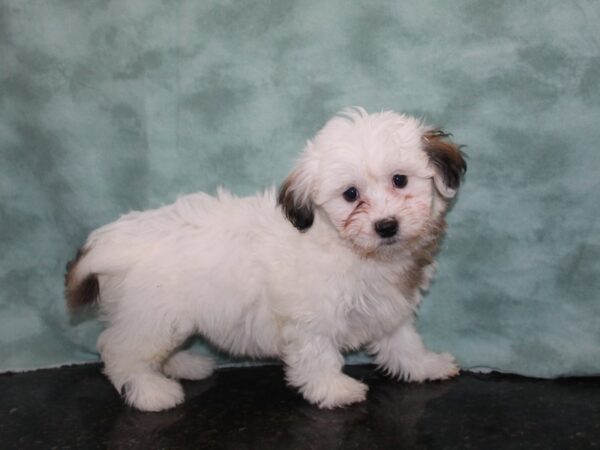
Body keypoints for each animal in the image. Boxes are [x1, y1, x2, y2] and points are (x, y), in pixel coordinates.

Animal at [67, 108, 468, 412]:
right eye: (351, 194)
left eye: (400, 180)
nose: (386, 225)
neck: (350, 247)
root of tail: (116, 239)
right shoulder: (311, 317)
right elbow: (318, 355)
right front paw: (334, 389)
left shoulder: (387, 306)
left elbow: (402, 341)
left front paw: (425, 365)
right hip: (151, 315)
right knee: (121, 351)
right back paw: (150, 391)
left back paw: (182, 364)